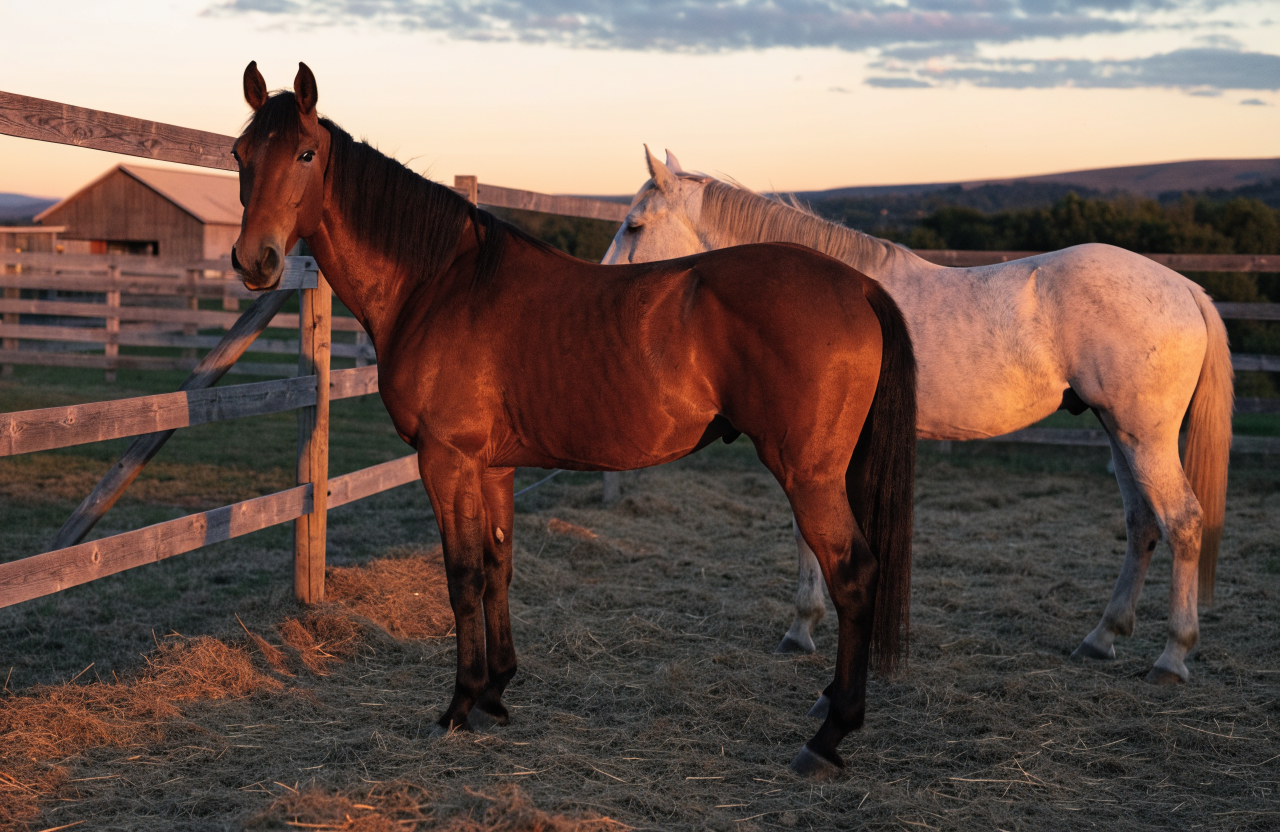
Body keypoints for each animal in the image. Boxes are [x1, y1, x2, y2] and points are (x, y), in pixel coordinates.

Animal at [230, 62, 918, 779]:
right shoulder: (493, 466)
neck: (441, 285)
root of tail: (858, 285)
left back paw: (829, 735)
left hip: (809, 475)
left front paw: (459, 705)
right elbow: (498, 565)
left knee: (853, 575)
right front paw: (495, 693)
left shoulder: (446, 460)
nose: (255, 261)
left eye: (307, 154)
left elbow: (462, 576)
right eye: (241, 156)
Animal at [602, 148, 1234, 686]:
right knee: (1142, 523)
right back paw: (1102, 638)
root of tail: (1184, 288)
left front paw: (801, 628)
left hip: (1143, 436)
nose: (606, 292)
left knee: (1181, 523)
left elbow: (808, 530)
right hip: (1119, 431)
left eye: (634, 226)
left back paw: (1171, 657)